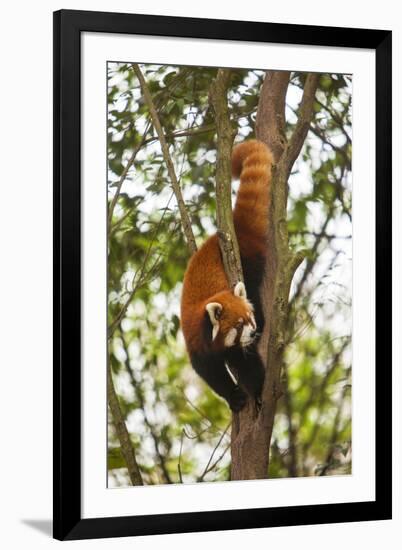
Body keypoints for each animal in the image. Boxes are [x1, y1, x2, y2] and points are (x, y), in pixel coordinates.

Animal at [180, 140, 272, 412]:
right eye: (239, 325)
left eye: (249, 317)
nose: (253, 331)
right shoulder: (197, 345)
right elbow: (210, 374)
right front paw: (234, 396)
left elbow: (248, 363)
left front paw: (257, 391)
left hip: (249, 264)